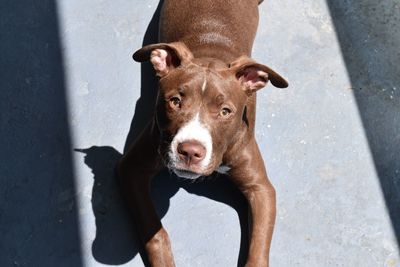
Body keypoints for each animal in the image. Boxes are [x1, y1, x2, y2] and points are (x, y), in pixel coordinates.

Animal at [117, 0, 290, 266]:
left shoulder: (261, 188)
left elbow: (258, 247)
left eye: (225, 111)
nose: (190, 151)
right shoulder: (131, 168)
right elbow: (155, 233)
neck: (211, 54)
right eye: (175, 101)